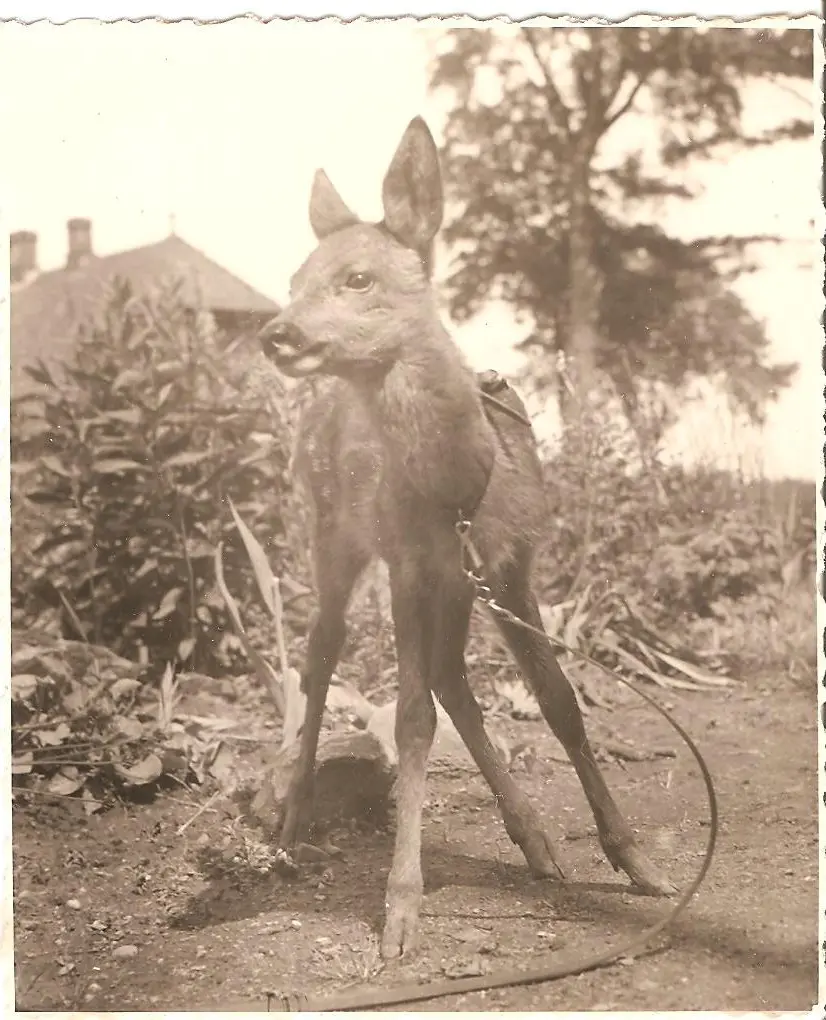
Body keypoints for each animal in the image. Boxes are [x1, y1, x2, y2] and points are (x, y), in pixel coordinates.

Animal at [257, 117, 675, 960]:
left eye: (356, 278)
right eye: (293, 277)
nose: (274, 331)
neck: (460, 485)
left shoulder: (511, 564)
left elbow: (559, 701)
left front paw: (633, 858)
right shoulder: (409, 565)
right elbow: (413, 720)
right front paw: (401, 906)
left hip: (455, 583)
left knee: (454, 678)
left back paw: (536, 840)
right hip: (335, 540)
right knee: (320, 658)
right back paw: (292, 813)